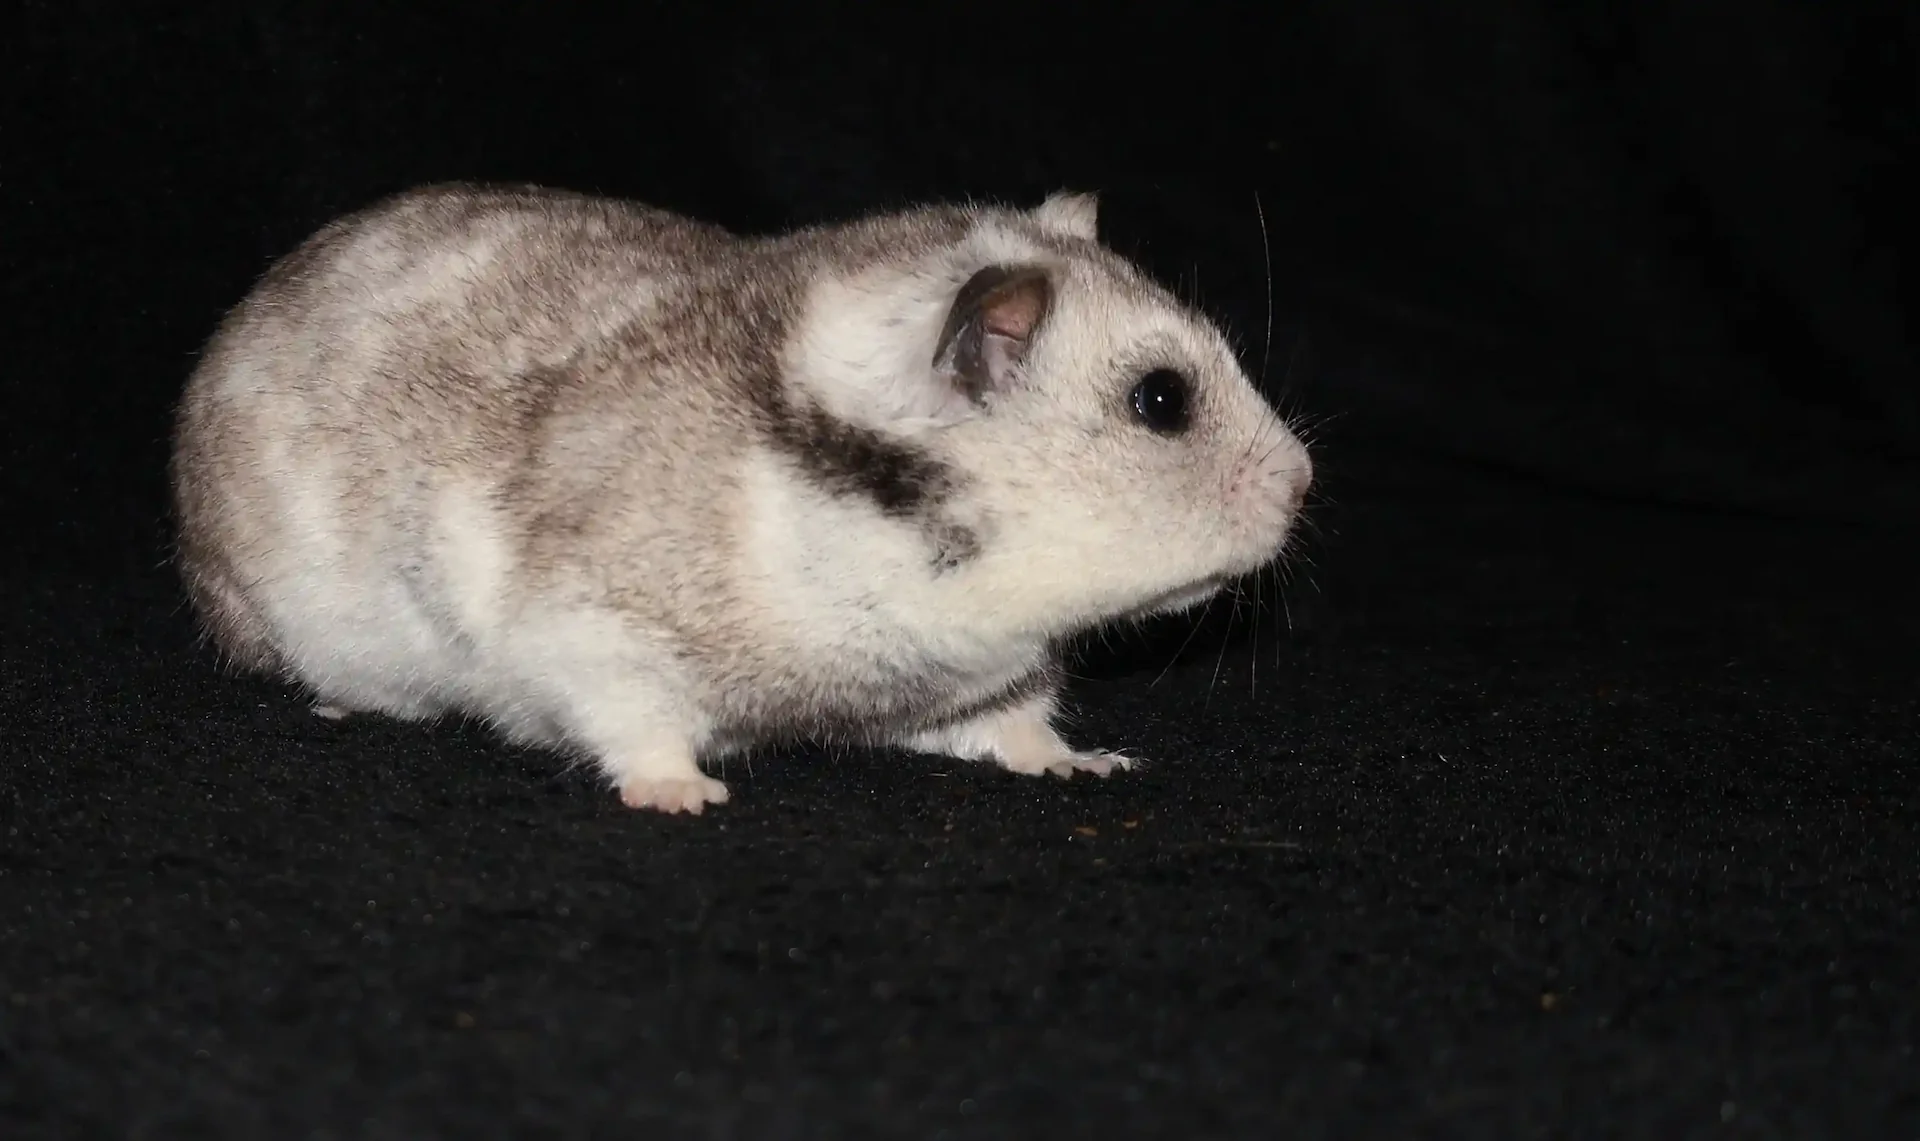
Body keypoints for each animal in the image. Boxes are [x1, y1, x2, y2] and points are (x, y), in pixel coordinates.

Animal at [169, 182, 1313, 814]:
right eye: (1161, 400)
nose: (1305, 484)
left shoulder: (972, 679)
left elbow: (1018, 725)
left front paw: (1088, 763)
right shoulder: (592, 633)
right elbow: (635, 725)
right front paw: (686, 795)